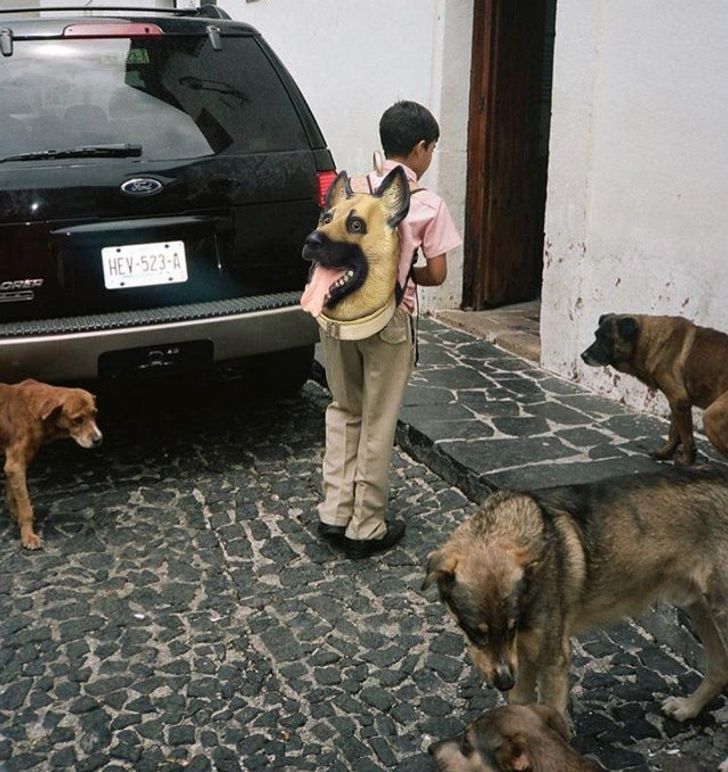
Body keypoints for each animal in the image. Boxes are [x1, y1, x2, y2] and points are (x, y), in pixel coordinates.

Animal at [0, 380, 102, 548]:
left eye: (95, 414)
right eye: (77, 420)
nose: (98, 440)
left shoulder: (17, 464)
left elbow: (12, 493)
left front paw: (16, 515)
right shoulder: (15, 465)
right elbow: (26, 506)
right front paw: (28, 536)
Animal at [420, 464, 728, 724]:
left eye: (510, 627)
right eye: (475, 631)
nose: (505, 682)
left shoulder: (552, 663)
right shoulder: (521, 664)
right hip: (700, 608)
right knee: (719, 668)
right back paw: (688, 708)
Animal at [584, 312, 728, 464]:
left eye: (606, 339)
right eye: (596, 335)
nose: (583, 356)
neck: (648, 341)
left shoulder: (678, 400)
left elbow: (686, 437)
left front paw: (687, 460)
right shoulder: (679, 403)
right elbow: (675, 432)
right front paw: (666, 453)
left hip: (711, 419)